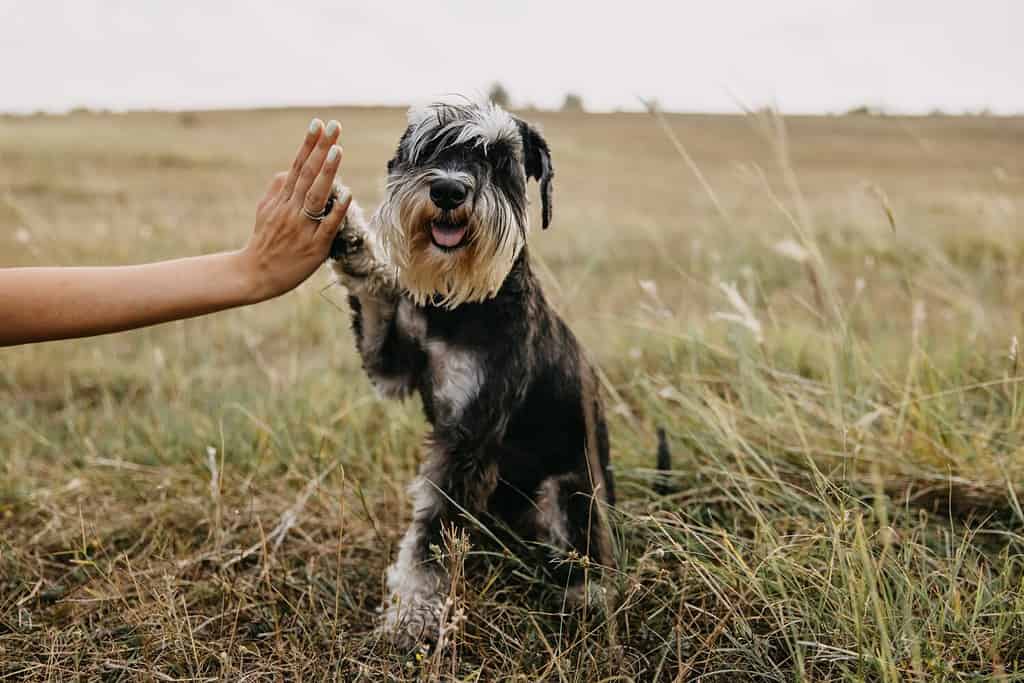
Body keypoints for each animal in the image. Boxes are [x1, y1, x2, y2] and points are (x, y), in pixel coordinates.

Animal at [331, 100, 610, 647]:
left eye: (500, 159)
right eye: (428, 148)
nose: (448, 190)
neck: (459, 304)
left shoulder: (469, 435)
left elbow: (433, 535)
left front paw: (413, 615)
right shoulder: (391, 364)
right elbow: (375, 295)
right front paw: (352, 240)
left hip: (567, 489)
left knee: (587, 554)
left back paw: (583, 595)